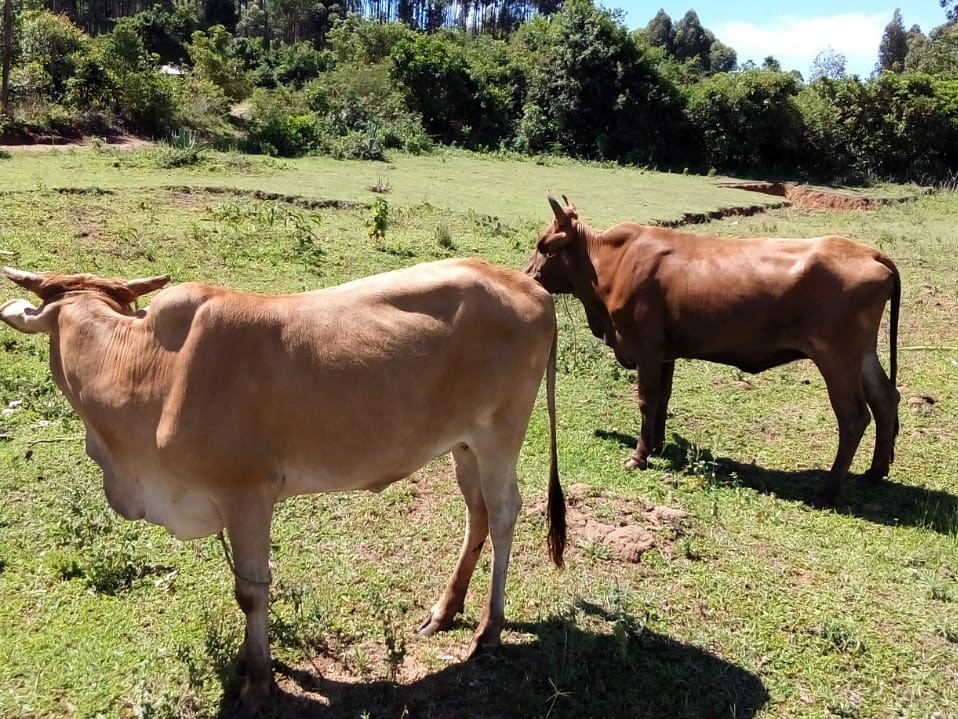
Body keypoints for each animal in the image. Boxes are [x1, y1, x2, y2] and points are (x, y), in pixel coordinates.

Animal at [0, 258, 568, 716]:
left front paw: (258, 684)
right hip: (463, 443)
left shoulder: (247, 495)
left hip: (499, 435)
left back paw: (489, 631)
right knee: (477, 514)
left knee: (504, 513)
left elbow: (251, 591)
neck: (149, 369)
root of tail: (531, 288)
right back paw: (444, 610)